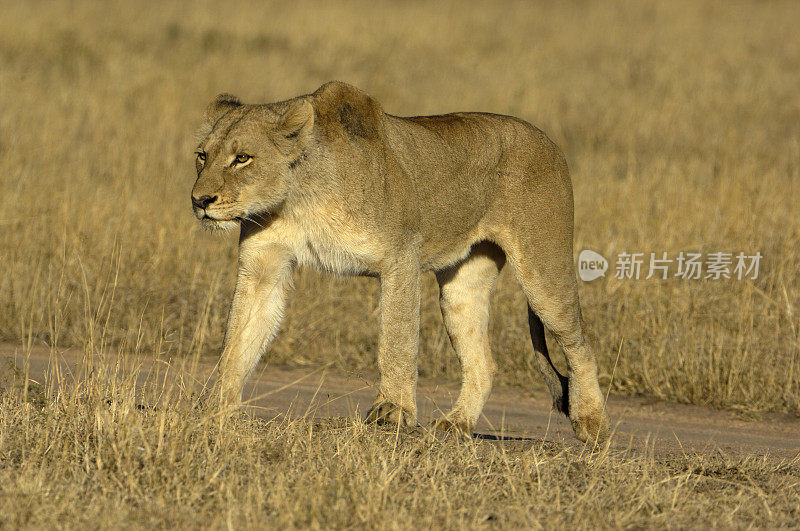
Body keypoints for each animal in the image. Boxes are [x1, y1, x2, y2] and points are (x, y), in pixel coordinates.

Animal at [191, 80, 608, 444]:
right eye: (202, 156)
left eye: (242, 158)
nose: (200, 200)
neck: (298, 197)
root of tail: (548, 139)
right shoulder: (264, 265)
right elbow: (239, 339)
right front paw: (215, 407)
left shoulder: (401, 255)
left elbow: (397, 339)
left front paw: (393, 411)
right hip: (462, 287)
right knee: (483, 363)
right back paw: (455, 425)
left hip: (543, 268)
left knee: (580, 344)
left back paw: (592, 424)